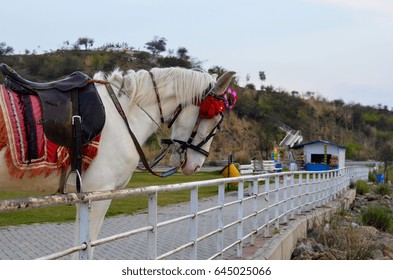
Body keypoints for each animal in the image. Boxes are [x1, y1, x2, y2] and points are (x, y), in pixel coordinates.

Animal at [0, 66, 233, 260]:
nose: (197, 164)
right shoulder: (98, 194)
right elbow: (86, 250)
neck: (122, 114)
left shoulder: (82, 197)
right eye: (213, 119)